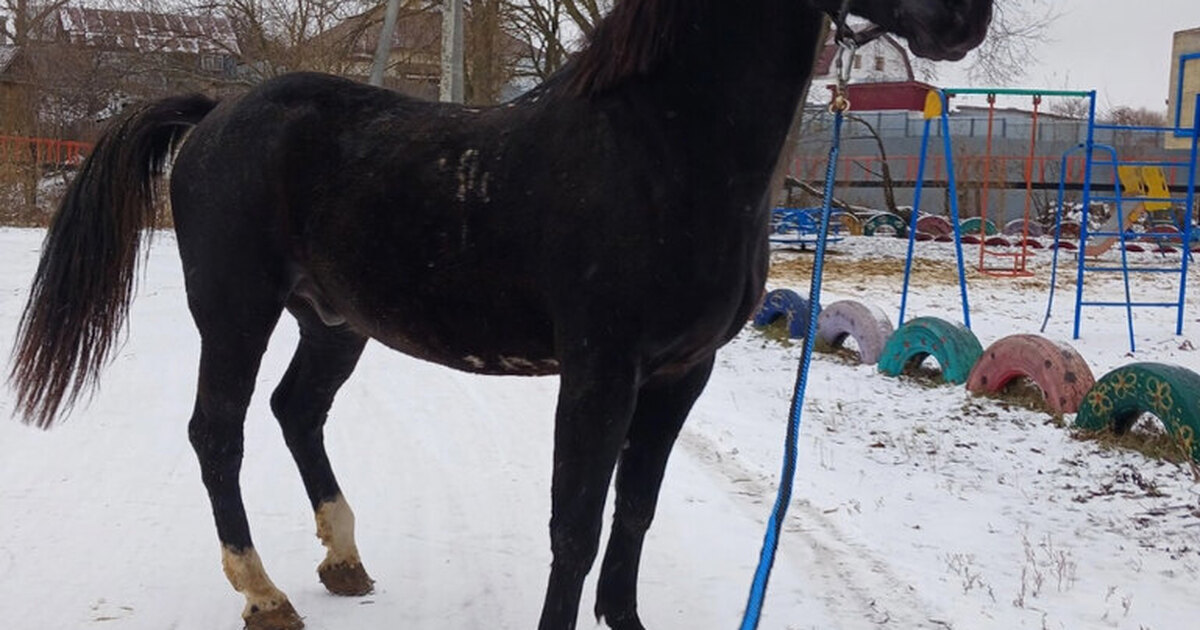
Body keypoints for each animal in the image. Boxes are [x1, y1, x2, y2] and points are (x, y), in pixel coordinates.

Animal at [9, 1, 992, 628]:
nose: (964, 19)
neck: (659, 146)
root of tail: (216, 112)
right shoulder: (600, 372)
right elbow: (576, 526)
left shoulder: (681, 373)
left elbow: (633, 515)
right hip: (236, 313)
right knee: (219, 433)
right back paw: (265, 596)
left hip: (334, 323)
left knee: (297, 412)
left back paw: (344, 562)